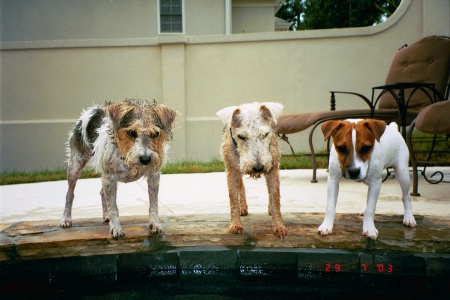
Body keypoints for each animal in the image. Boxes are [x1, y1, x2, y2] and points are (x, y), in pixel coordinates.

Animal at [59, 99, 178, 238]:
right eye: (131, 132)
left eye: (155, 133)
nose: (145, 159)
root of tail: (92, 110)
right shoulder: (109, 178)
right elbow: (114, 207)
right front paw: (116, 228)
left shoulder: (154, 176)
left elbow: (153, 205)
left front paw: (154, 225)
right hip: (75, 166)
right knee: (69, 193)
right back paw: (66, 218)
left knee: (101, 192)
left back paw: (106, 215)